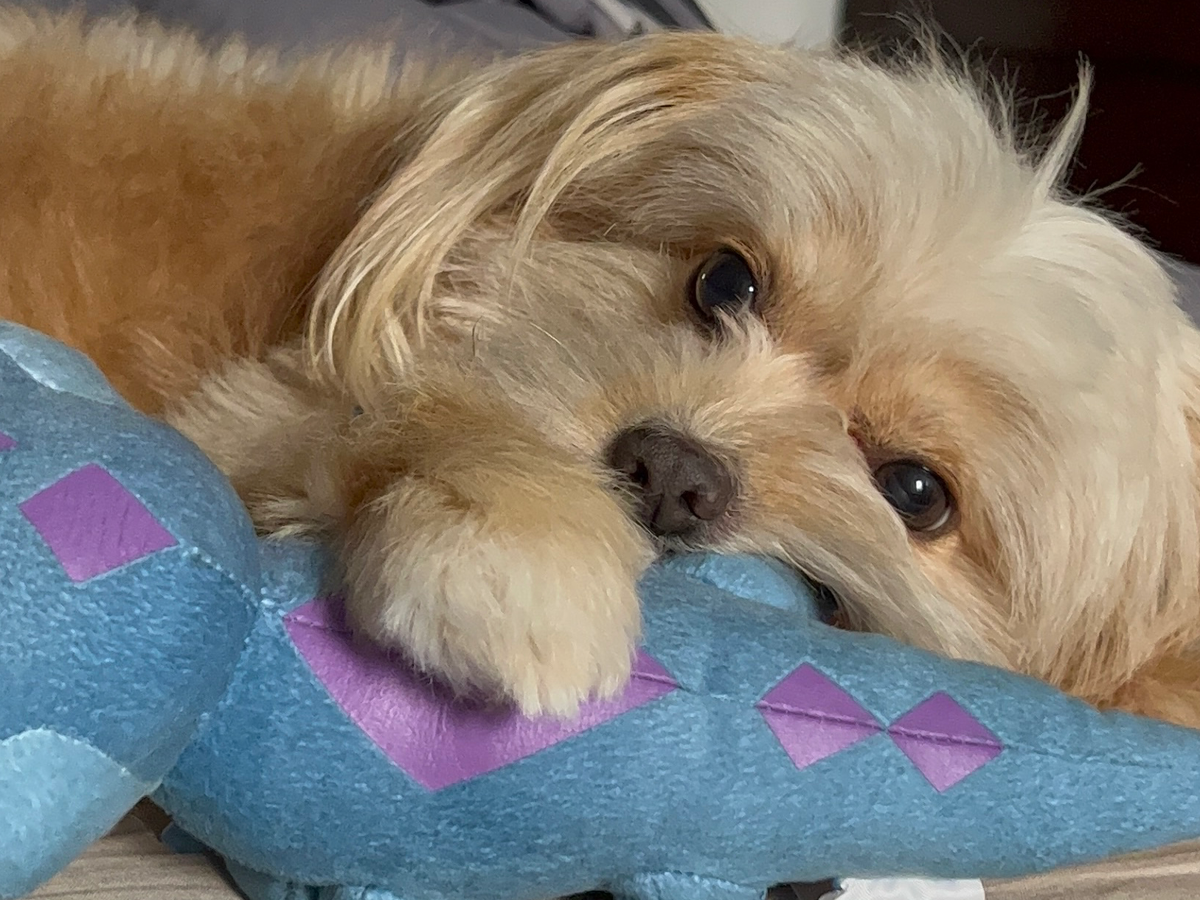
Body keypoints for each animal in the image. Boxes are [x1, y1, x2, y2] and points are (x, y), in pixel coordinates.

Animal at [3, 8, 1200, 727]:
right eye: (725, 280)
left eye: (916, 490)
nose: (674, 471)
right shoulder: (250, 407)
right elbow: (428, 411)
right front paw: (518, 552)